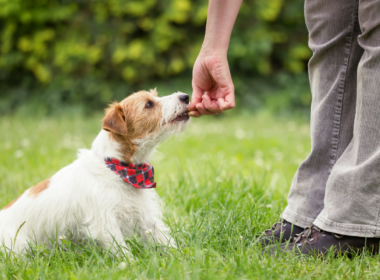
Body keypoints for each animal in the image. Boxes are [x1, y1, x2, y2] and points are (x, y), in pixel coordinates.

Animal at [0, 89, 190, 256]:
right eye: (149, 104)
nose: (186, 96)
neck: (119, 169)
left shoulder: (146, 215)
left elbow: (163, 239)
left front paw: (180, 259)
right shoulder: (105, 224)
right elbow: (123, 253)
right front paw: (131, 267)